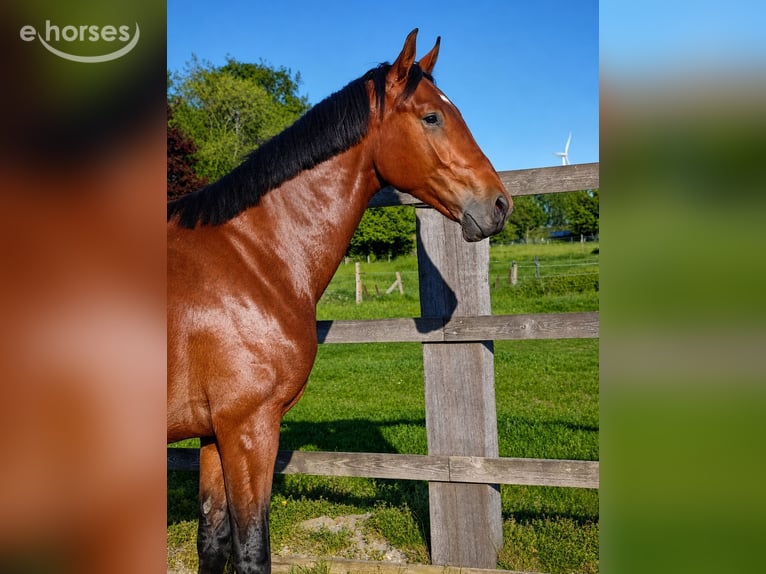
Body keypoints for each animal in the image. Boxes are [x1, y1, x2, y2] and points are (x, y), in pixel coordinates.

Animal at [167, 29, 511, 574]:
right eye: (432, 117)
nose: (499, 204)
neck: (251, 256)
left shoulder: (214, 431)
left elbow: (213, 539)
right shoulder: (249, 428)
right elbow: (252, 550)